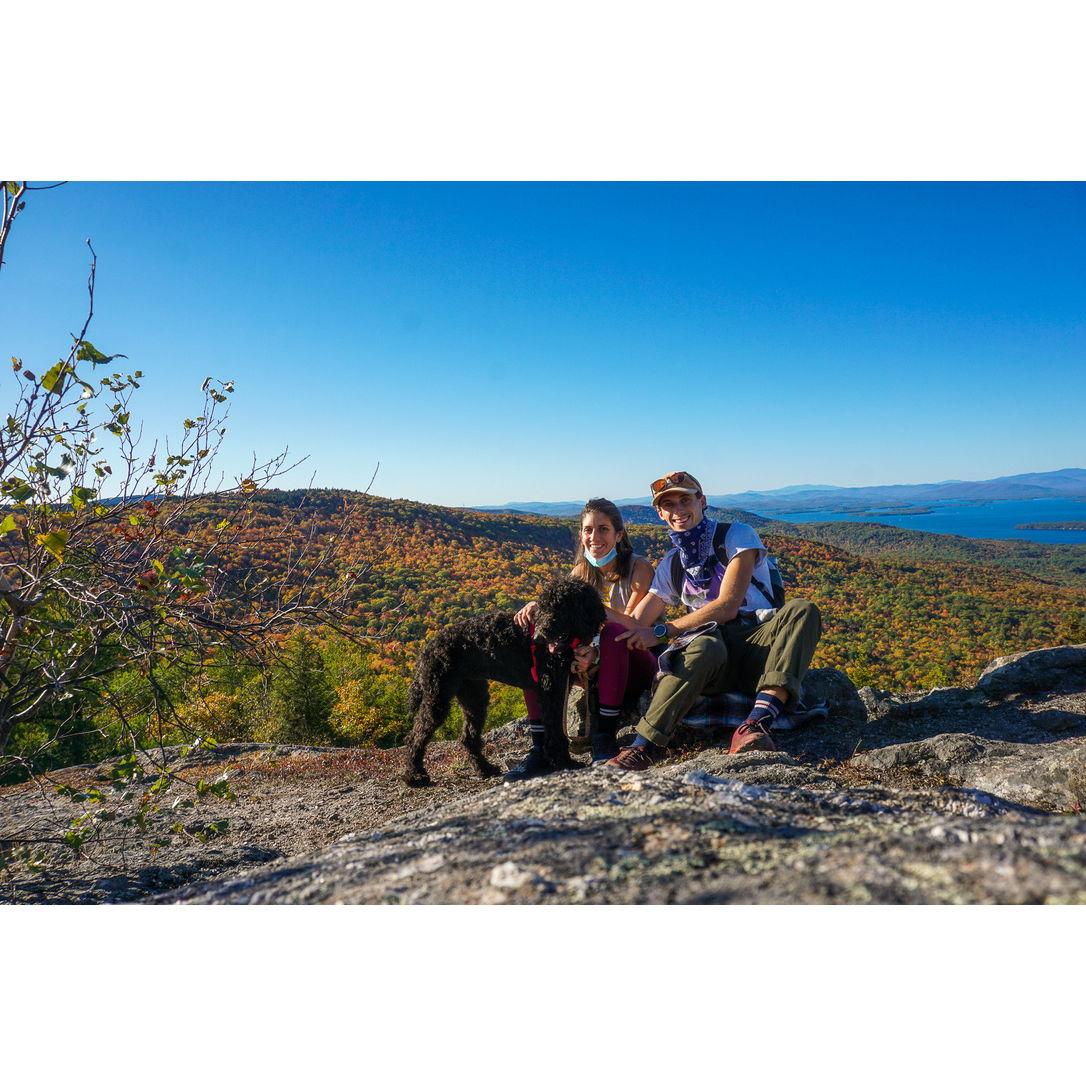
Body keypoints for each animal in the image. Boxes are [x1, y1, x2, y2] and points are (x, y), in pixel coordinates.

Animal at [403, 582, 608, 786]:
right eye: (543, 608)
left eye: (561, 606)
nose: (538, 637)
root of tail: (428, 647)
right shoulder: (551, 690)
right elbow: (555, 730)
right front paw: (563, 762)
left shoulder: (558, 687)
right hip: (437, 697)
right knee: (415, 736)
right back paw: (414, 776)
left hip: (474, 698)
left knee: (468, 737)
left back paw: (485, 769)